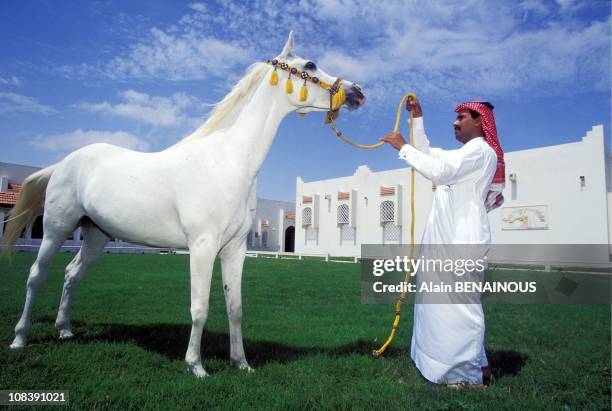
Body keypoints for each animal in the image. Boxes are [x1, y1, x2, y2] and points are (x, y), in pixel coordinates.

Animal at [3, 32, 364, 378]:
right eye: (310, 64)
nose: (357, 91)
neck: (228, 161)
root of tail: (64, 162)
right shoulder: (202, 247)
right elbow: (199, 307)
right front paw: (196, 366)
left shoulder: (234, 249)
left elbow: (235, 307)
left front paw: (241, 363)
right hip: (56, 229)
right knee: (37, 276)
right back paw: (20, 338)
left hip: (96, 235)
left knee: (71, 274)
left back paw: (64, 330)